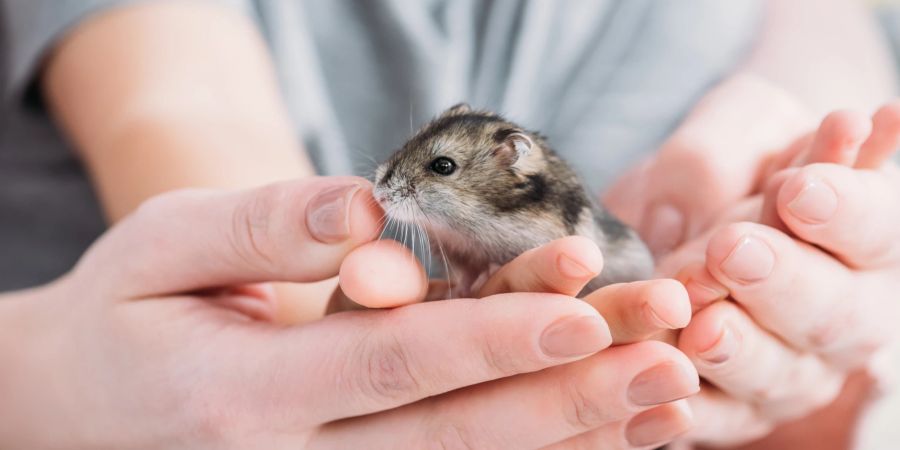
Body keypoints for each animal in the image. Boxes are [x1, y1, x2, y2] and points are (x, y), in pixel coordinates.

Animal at [372, 103, 652, 298]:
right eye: (409, 142)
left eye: (443, 166)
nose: (379, 193)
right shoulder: (458, 256)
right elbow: (465, 276)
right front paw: (461, 291)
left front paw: (487, 274)